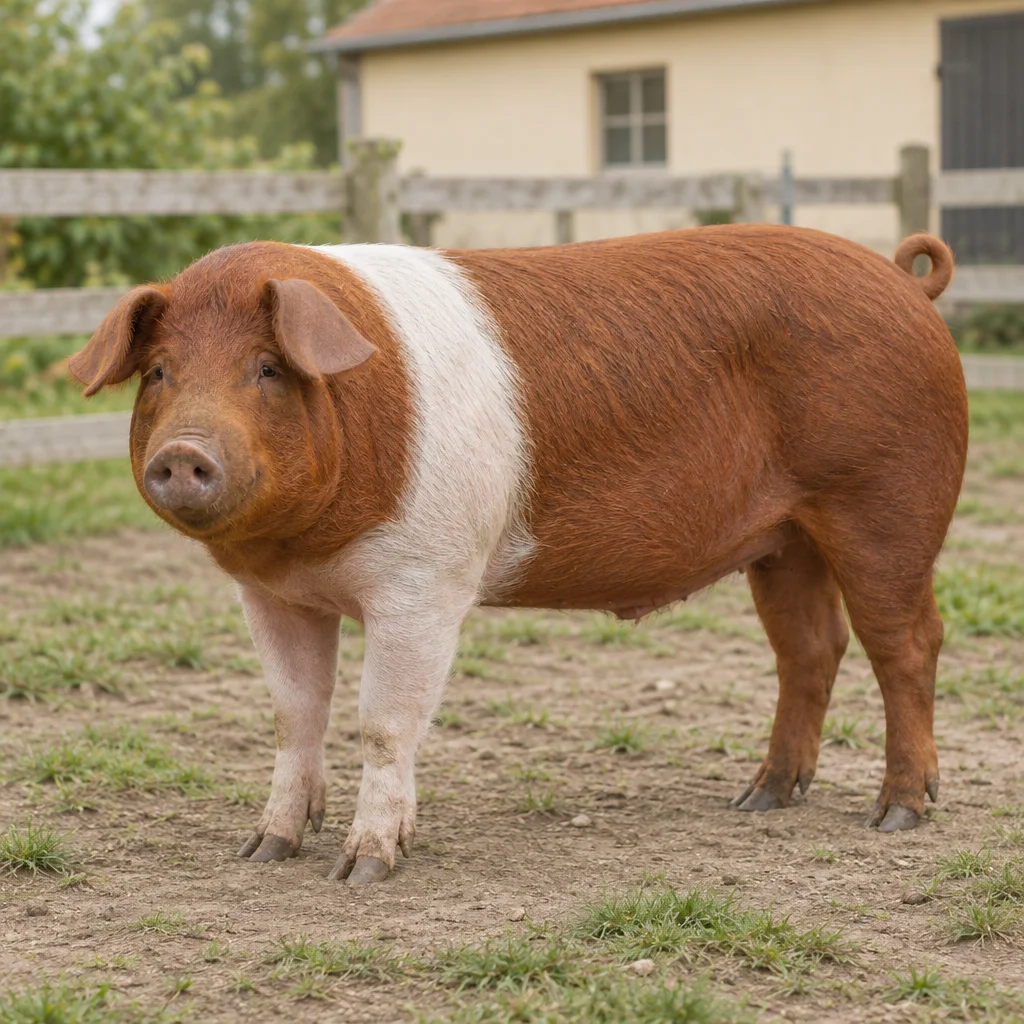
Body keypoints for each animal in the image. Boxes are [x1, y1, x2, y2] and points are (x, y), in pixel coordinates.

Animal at [70, 225, 967, 885]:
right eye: (159, 371)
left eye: (265, 368)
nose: (184, 453)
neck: (305, 551)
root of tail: (903, 281)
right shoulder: (272, 595)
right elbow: (296, 715)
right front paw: (263, 851)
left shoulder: (425, 582)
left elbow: (382, 724)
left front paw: (363, 871)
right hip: (783, 541)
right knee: (810, 650)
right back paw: (759, 800)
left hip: (886, 504)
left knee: (908, 645)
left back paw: (897, 814)